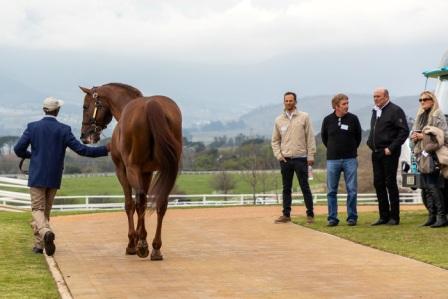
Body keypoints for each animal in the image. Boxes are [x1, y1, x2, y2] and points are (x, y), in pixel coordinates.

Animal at [79, 84, 182, 260]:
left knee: (139, 200)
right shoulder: (147, 172)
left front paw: (133, 242)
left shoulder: (122, 170)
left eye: (86, 106)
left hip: (132, 169)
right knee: (160, 202)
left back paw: (142, 245)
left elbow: (130, 204)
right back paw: (155, 248)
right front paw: (140, 237)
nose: (84, 136)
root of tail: (152, 104)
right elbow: (143, 202)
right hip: (168, 169)